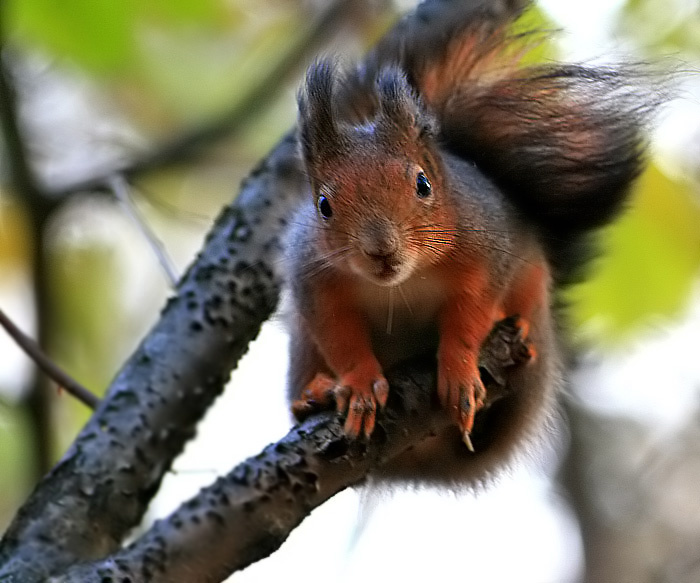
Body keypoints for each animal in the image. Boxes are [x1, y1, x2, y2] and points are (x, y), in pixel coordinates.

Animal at [284, 1, 660, 485]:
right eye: (323, 205)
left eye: (422, 184)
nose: (381, 250)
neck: (402, 284)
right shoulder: (312, 280)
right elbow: (340, 337)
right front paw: (361, 385)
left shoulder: (488, 255)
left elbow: (470, 316)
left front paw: (459, 372)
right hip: (301, 345)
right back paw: (313, 394)